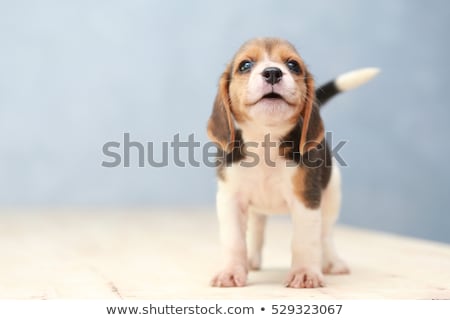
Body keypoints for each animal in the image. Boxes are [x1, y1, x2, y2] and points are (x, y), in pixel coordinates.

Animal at [209, 37, 378, 288]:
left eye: (293, 65)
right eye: (245, 65)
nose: (272, 72)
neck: (265, 141)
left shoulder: (306, 199)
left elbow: (305, 241)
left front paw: (305, 273)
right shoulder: (230, 199)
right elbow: (235, 241)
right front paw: (231, 271)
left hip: (331, 194)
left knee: (325, 234)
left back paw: (331, 261)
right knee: (257, 229)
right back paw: (251, 259)